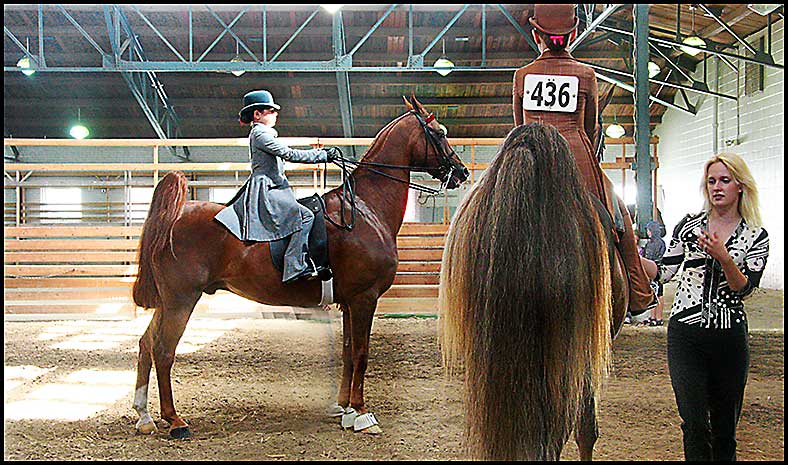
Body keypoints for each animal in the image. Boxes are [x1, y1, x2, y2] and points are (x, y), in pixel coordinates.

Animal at [129, 96, 468, 436]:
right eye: (439, 133)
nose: (461, 172)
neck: (364, 209)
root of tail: (175, 215)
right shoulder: (364, 299)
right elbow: (361, 354)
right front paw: (362, 414)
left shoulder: (349, 303)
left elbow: (348, 353)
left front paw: (345, 409)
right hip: (181, 300)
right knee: (163, 350)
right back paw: (174, 420)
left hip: (168, 302)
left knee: (146, 343)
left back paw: (144, 416)